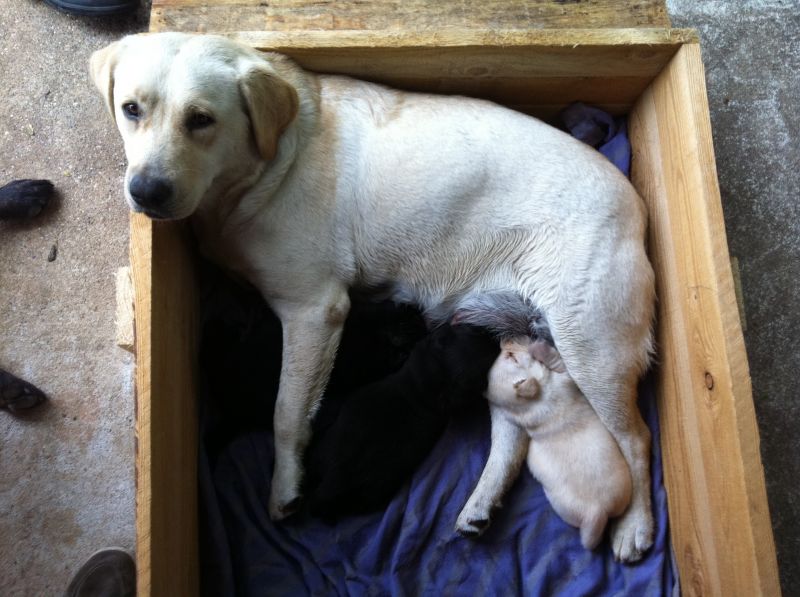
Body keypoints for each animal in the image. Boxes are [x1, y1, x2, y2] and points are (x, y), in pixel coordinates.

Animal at [484, 340, 636, 548]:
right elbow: (559, 364)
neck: (529, 404)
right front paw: (540, 348)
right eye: (512, 357)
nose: (503, 341)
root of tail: (595, 513)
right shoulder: (563, 379)